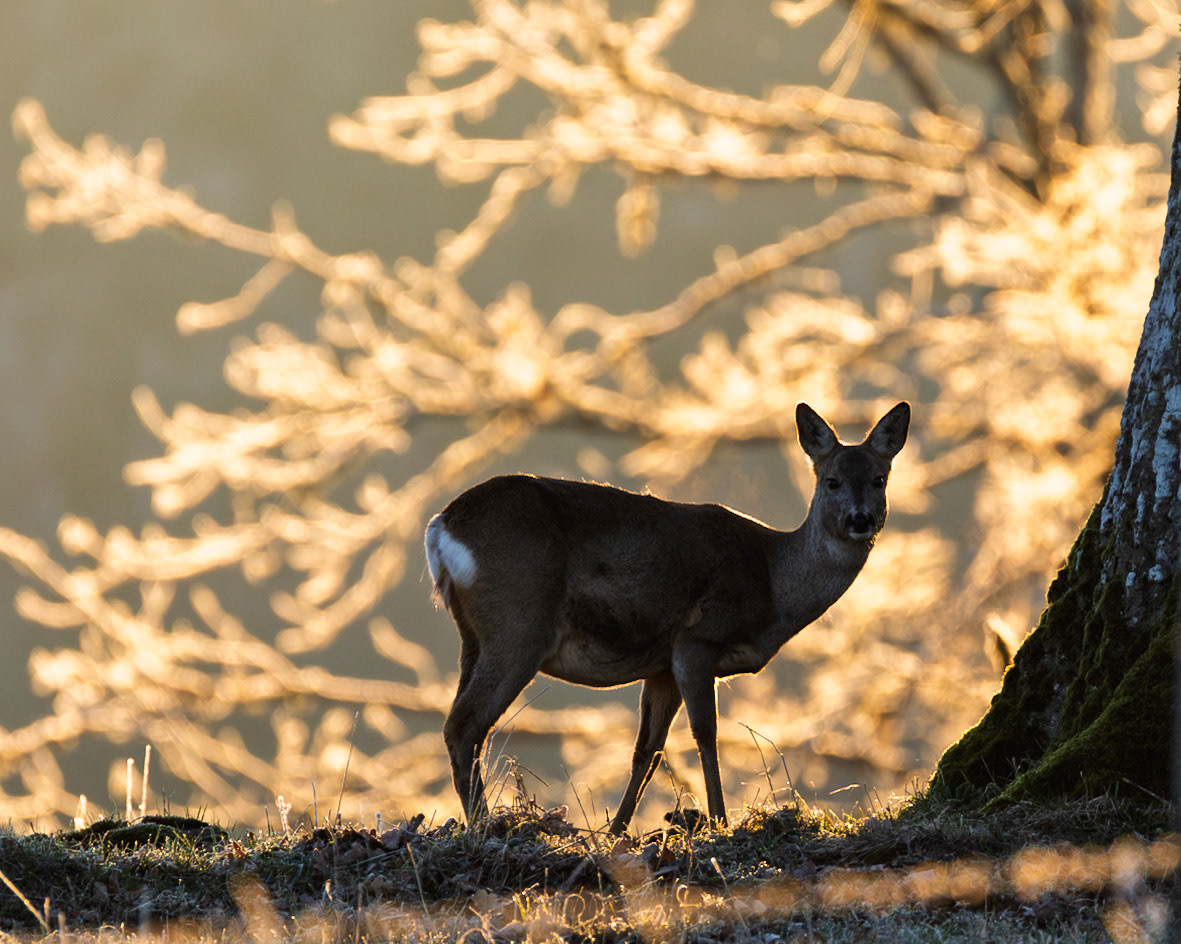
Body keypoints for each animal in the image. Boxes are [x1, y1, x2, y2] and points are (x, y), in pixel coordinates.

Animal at [424, 401, 910, 834]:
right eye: (831, 481)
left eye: (880, 479)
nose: (861, 519)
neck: (772, 582)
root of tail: (441, 526)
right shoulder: (697, 639)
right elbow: (706, 735)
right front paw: (719, 821)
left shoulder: (660, 667)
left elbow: (648, 751)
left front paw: (616, 831)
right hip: (518, 623)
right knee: (465, 725)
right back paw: (484, 825)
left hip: (474, 636)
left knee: (461, 726)